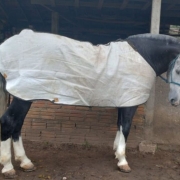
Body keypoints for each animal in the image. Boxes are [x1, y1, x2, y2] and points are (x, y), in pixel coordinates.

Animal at [0, 28, 180, 178]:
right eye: (178, 70)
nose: (174, 101)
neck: (143, 56)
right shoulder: (130, 103)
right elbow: (126, 127)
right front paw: (123, 161)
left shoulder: (123, 100)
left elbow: (119, 125)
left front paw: (116, 153)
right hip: (23, 97)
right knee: (8, 123)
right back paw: (8, 167)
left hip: (25, 97)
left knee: (17, 125)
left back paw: (25, 162)